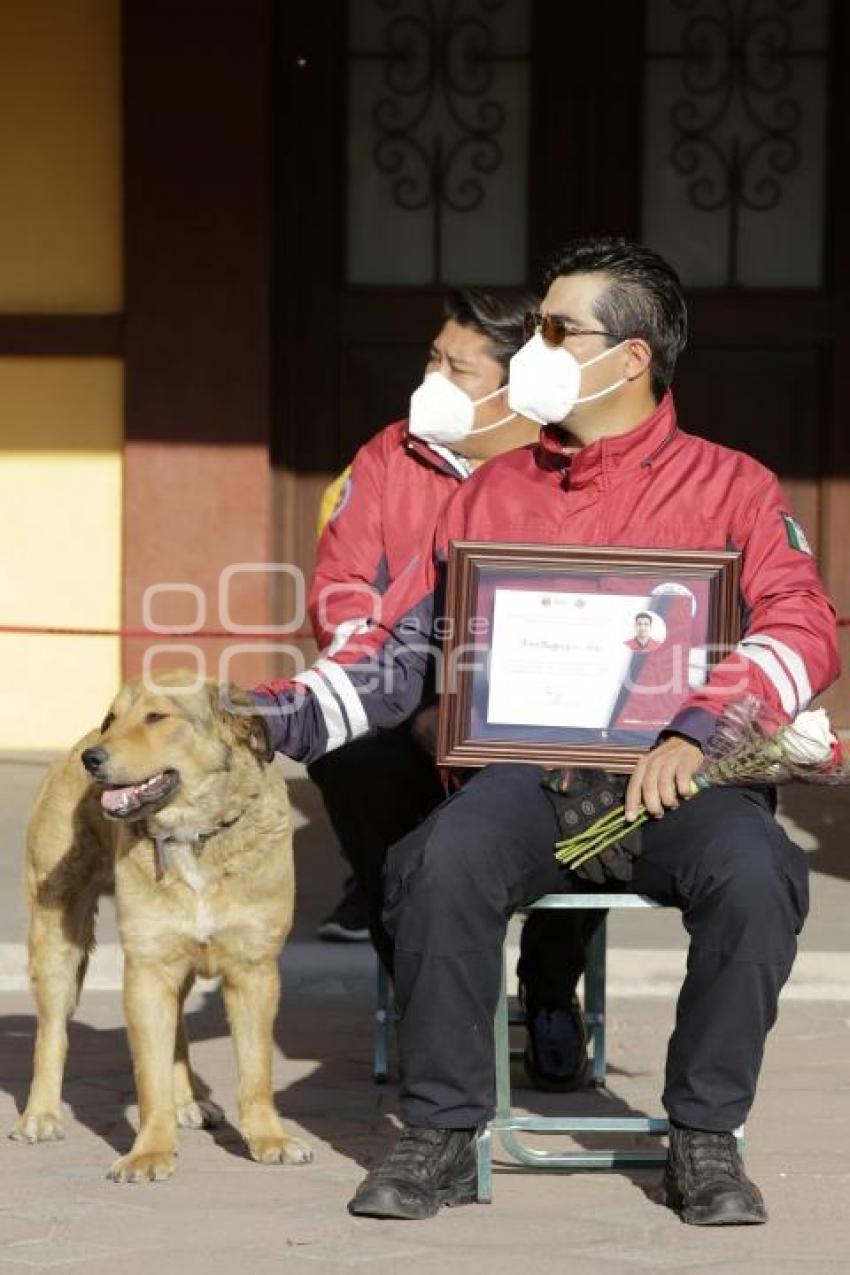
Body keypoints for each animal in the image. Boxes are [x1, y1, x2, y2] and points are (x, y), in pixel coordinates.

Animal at [11, 673, 312, 1178]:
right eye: (112, 719)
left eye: (156, 716)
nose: (92, 760)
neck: (194, 836)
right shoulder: (147, 968)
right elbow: (148, 1077)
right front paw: (150, 1150)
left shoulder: (254, 969)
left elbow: (256, 1072)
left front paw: (268, 1137)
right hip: (57, 937)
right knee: (51, 1030)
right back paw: (41, 1114)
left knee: (180, 1031)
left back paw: (188, 1102)